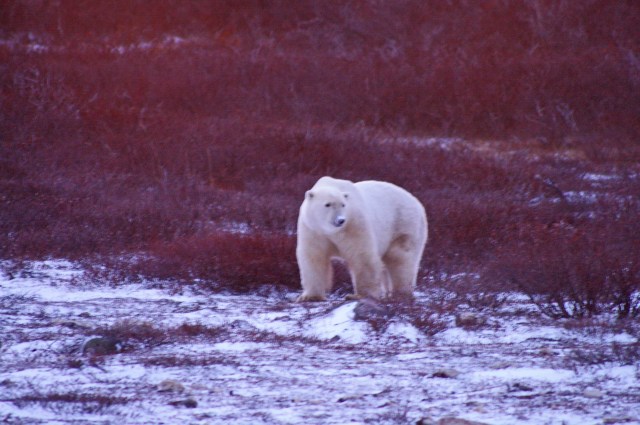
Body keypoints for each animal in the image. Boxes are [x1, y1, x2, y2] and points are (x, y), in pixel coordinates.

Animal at [296, 176, 427, 302]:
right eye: (327, 204)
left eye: (343, 204)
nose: (340, 220)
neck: (331, 231)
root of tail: (418, 204)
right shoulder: (313, 229)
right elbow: (314, 257)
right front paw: (310, 296)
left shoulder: (354, 223)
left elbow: (361, 256)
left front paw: (359, 295)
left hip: (403, 223)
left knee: (400, 257)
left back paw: (400, 293)